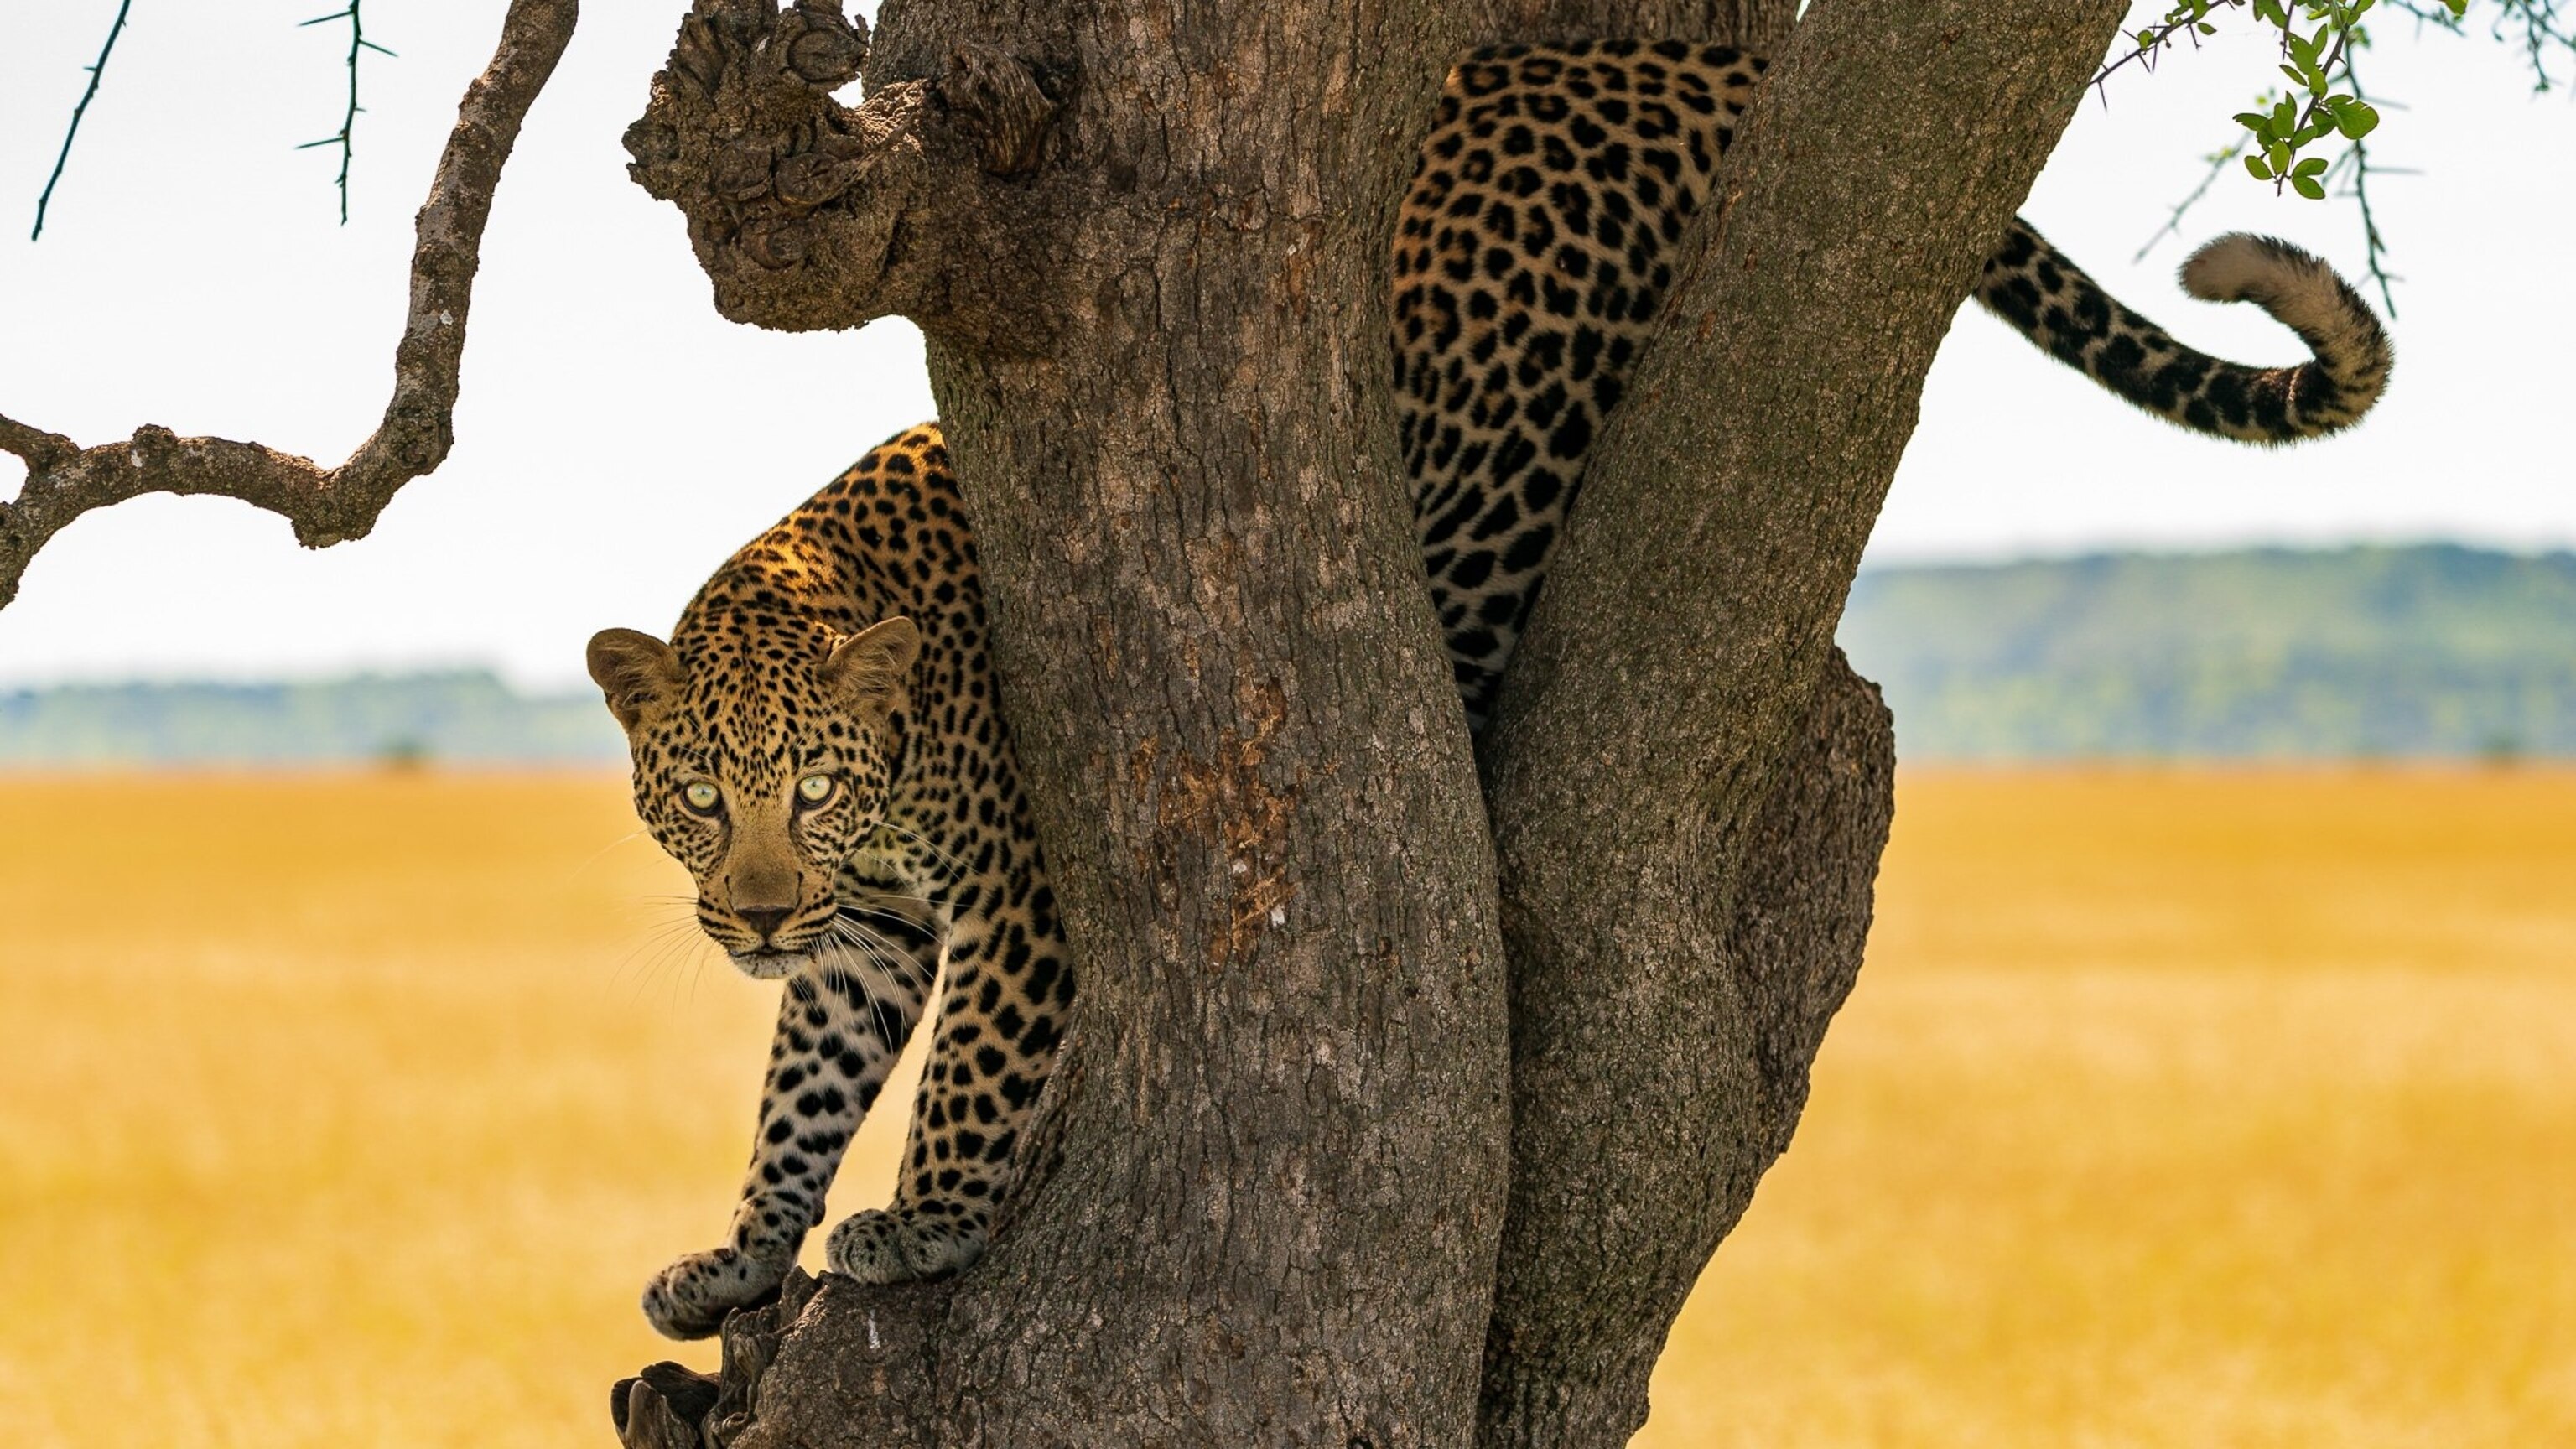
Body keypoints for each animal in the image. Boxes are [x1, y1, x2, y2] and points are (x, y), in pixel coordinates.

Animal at [593, 38, 2392, 1341]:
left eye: (812, 782)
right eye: (699, 796)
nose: (752, 912)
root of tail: (1666, 62)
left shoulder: (1016, 880)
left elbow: (968, 1055)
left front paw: (924, 1218)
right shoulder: (866, 925)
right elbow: (800, 1083)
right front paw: (741, 1254)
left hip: (1507, 438)